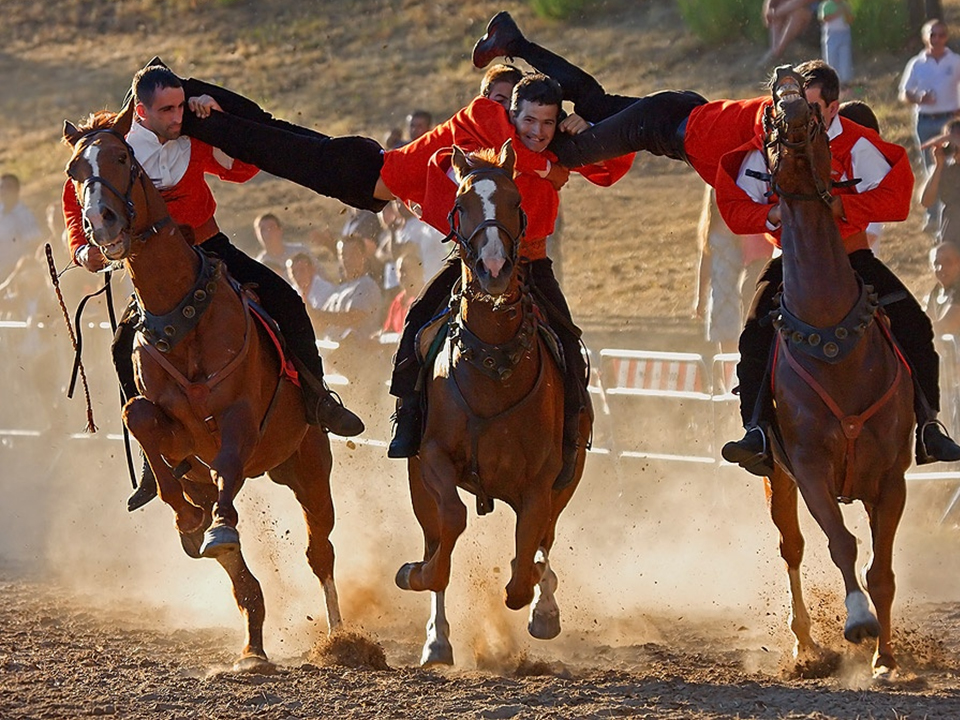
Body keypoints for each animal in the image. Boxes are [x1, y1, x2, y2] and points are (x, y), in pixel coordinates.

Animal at [62, 104, 342, 672]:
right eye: (76, 171)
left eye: (121, 156)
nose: (101, 222)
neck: (182, 318)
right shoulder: (179, 439)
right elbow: (138, 419)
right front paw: (192, 522)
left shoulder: (238, 419)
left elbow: (230, 467)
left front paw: (218, 525)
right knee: (241, 570)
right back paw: (252, 643)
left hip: (307, 462)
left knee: (319, 550)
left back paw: (343, 640)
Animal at [394, 142, 588, 668]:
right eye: (461, 204)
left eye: (515, 202)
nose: (495, 268)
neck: (492, 366)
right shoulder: (432, 460)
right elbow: (449, 529)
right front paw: (417, 575)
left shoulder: (542, 482)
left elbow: (526, 561)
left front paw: (541, 601)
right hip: (418, 482)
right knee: (438, 535)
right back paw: (437, 637)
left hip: (565, 482)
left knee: (544, 542)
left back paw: (546, 604)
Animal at [760, 70, 912, 676]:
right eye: (769, 121)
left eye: (823, 128)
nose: (789, 96)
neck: (834, 345)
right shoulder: (807, 469)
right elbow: (841, 545)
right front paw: (858, 619)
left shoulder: (891, 478)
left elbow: (882, 571)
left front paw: (885, 658)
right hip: (776, 478)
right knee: (793, 547)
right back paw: (805, 645)